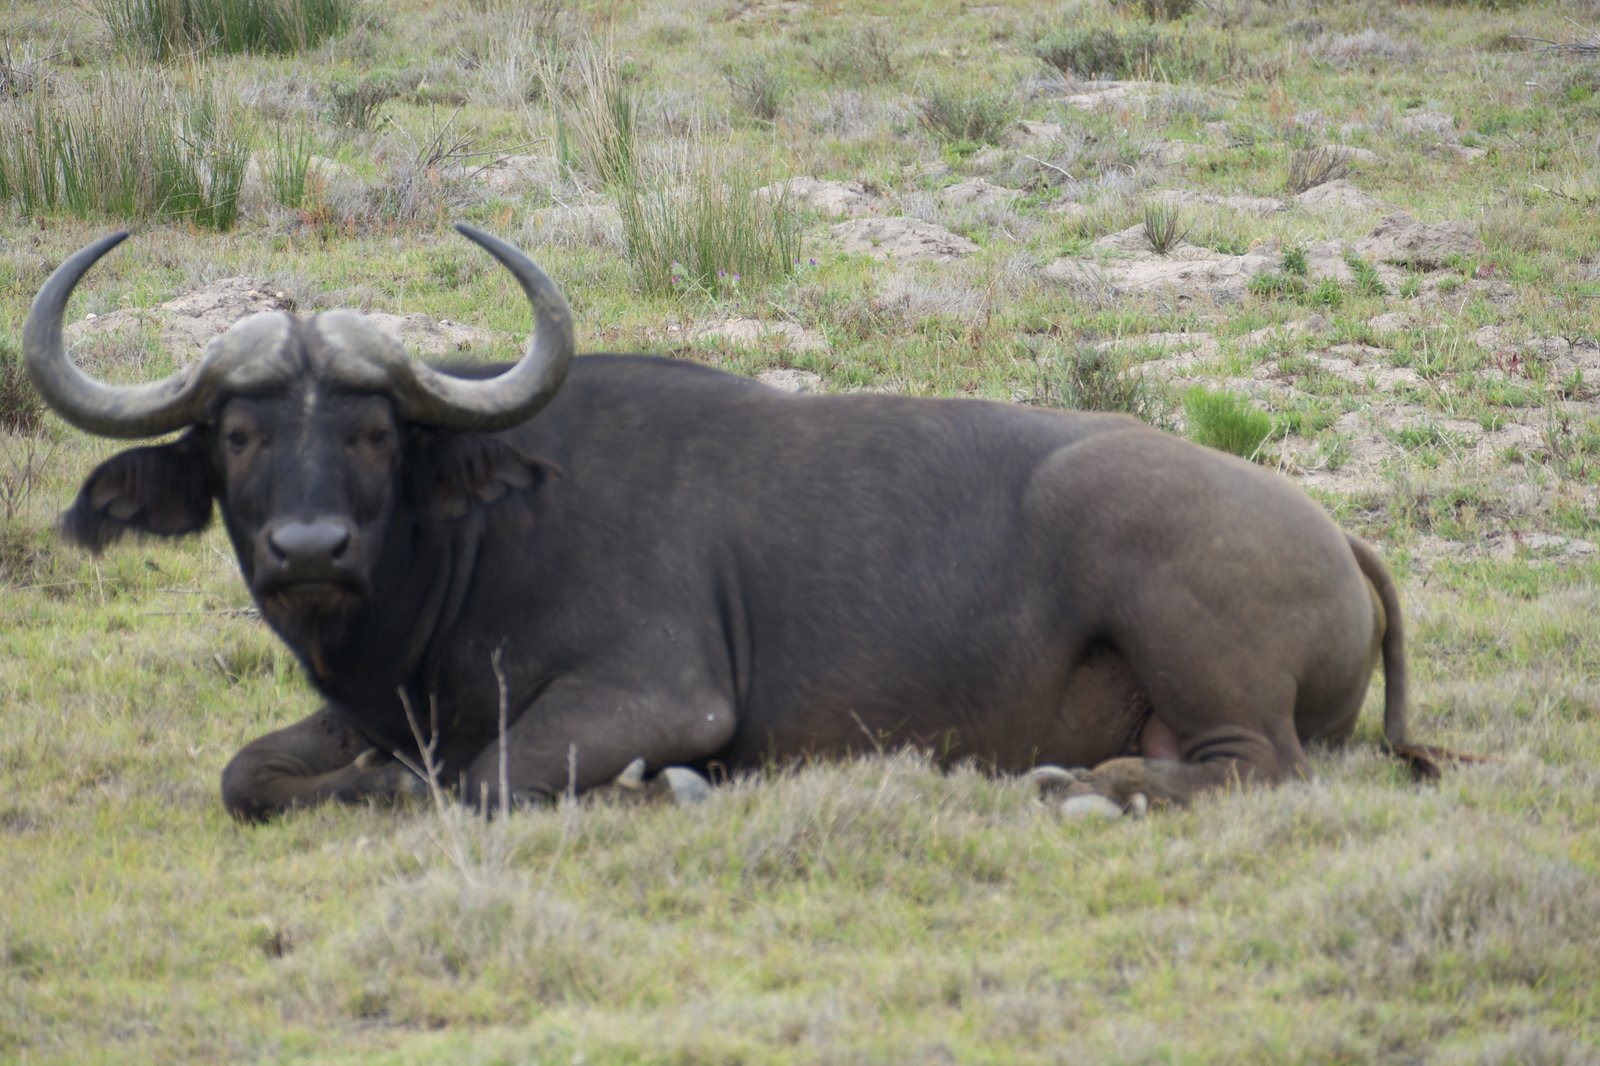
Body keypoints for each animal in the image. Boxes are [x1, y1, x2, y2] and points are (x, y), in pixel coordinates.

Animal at [25, 227, 1440, 821]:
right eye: (238, 433)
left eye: (375, 430)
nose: (308, 551)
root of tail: (1332, 533)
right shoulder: (368, 710)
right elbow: (248, 775)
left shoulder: (658, 698)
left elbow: (473, 781)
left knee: (1258, 766)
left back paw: (1090, 785)